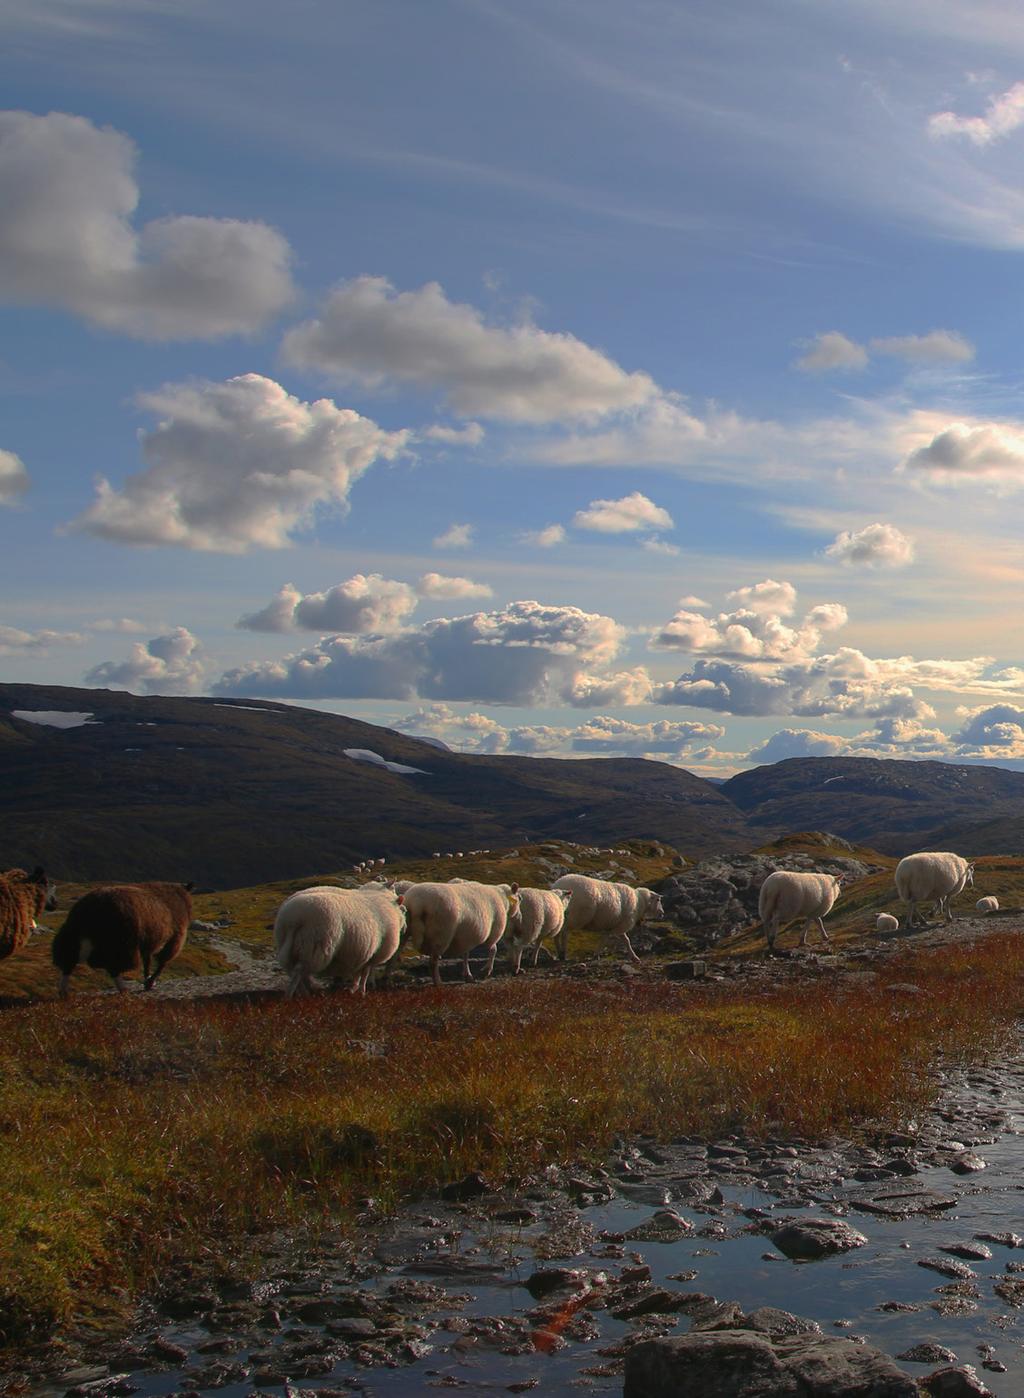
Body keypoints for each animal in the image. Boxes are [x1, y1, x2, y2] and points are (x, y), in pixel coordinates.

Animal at [52, 883, 194, 995]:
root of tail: (89, 910)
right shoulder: (175, 938)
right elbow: (162, 962)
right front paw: (150, 982)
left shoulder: (148, 942)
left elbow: (147, 962)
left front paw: (148, 980)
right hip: (121, 943)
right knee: (113, 966)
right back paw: (123, 989)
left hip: (71, 936)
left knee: (68, 960)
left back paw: (63, 992)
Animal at [274, 883, 405, 995]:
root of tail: (292, 919)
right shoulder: (372, 955)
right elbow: (364, 975)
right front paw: (361, 991)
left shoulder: (363, 954)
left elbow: (358, 974)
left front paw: (353, 989)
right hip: (314, 946)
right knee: (298, 971)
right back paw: (297, 994)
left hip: (290, 944)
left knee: (292, 969)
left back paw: (304, 992)